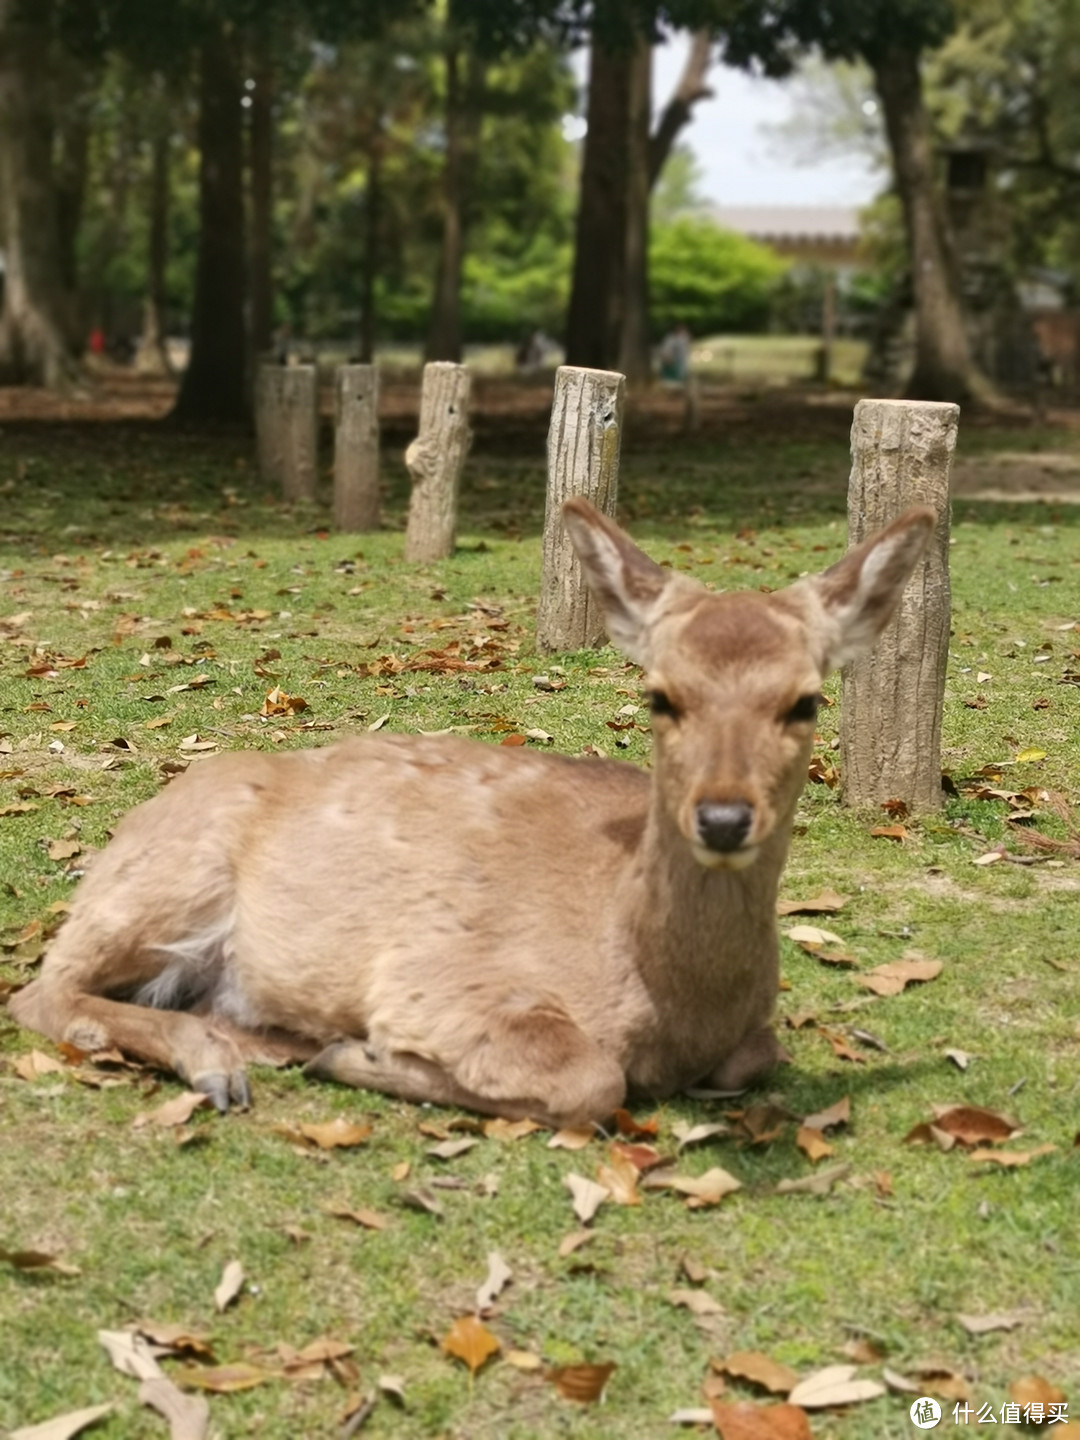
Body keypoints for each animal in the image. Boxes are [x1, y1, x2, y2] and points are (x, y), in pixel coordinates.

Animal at [6, 501, 938, 1128]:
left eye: (805, 701)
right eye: (660, 695)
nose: (721, 818)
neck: (667, 1003)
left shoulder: (746, 1038)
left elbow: (758, 1055)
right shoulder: (438, 979)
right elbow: (588, 1080)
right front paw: (357, 1053)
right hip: (166, 876)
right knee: (41, 990)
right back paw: (220, 1064)